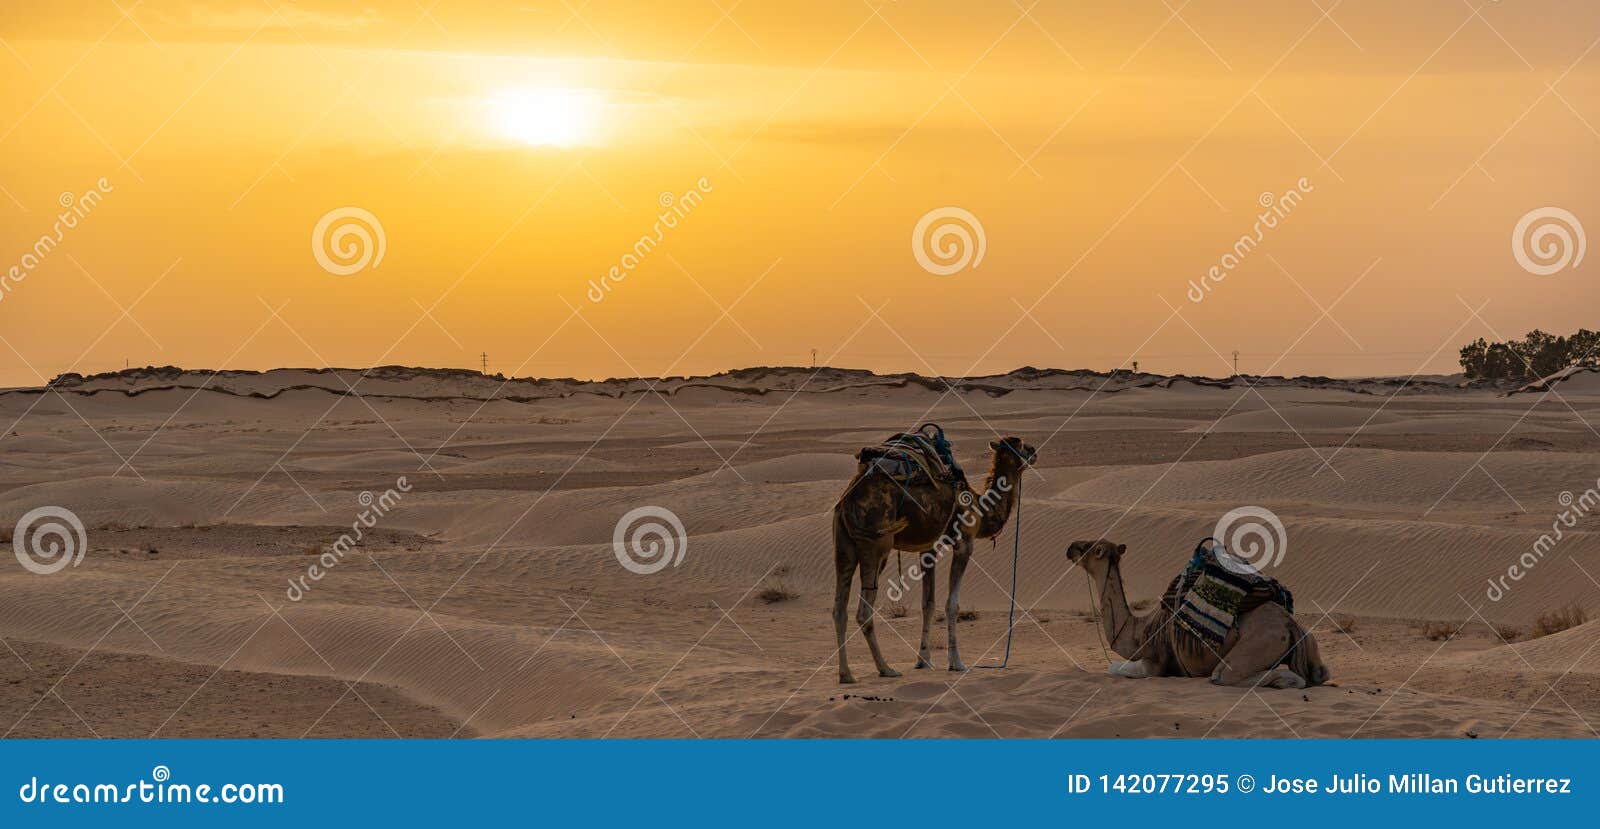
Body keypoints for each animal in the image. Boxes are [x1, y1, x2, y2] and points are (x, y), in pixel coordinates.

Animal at [825, 435, 1036, 681]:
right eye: (1021, 445)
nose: (1034, 451)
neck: (979, 506)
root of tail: (848, 498)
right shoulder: (965, 542)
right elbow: (952, 604)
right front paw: (956, 662)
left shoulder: (928, 549)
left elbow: (928, 603)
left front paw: (923, 660)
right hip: (876, 544)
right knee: (863, 612)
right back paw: (885, 669)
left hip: (843, 544)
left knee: (839, 609)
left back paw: (846, 674)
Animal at [1062, 540, 1324, 688]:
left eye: (1089, 548)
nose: (1070, 547)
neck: (1139, 630)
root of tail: (1289, 625)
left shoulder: (1154, 663)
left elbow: (1114, 668)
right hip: (1310, 643)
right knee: (1319, 673)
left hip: (1252, 647)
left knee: (1222, 676)